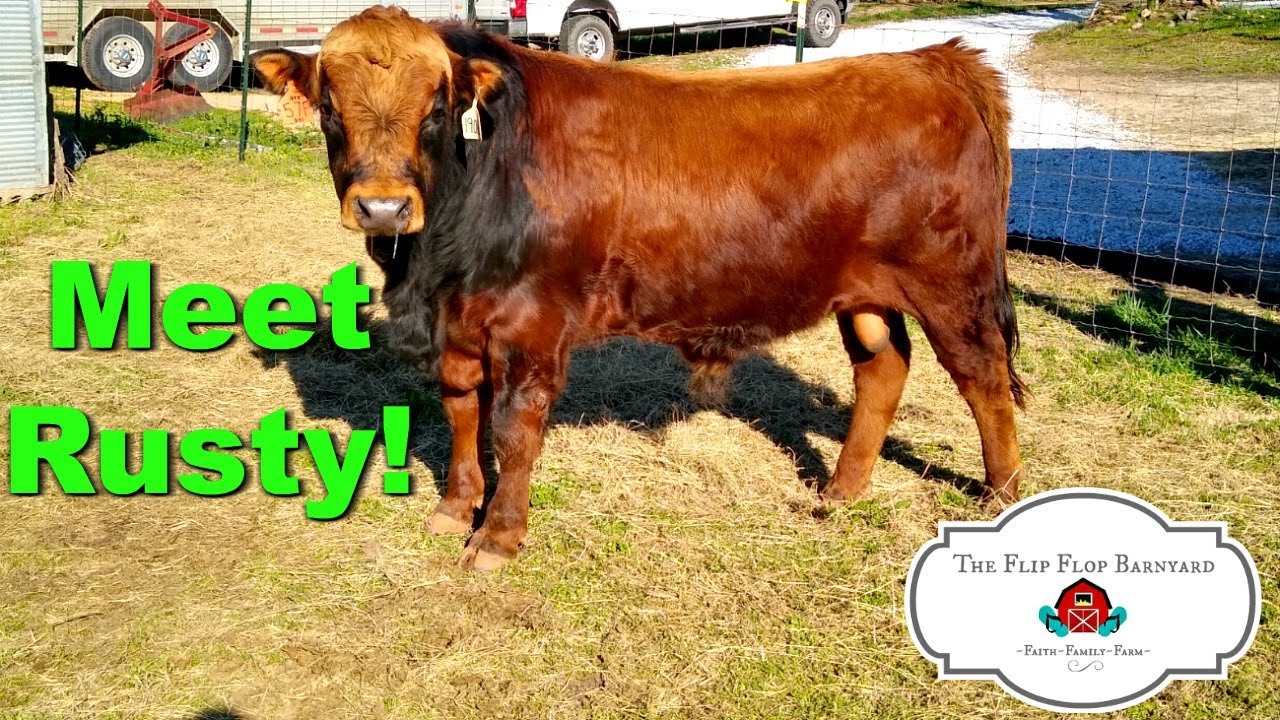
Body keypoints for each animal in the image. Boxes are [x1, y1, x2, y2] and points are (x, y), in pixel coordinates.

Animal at [252, 6, 1027, 570]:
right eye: (330, 107)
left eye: (437, 110)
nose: (383, 207)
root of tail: (929, 61)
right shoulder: (459, 329)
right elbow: (462, 414)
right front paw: (453, 510)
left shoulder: (531, 328)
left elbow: (513, 431)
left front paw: (497, 538)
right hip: (864, 293)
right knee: (883, 369)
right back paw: (840, 492)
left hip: (951, 284)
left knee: (983, 377)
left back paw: (1002, 495)